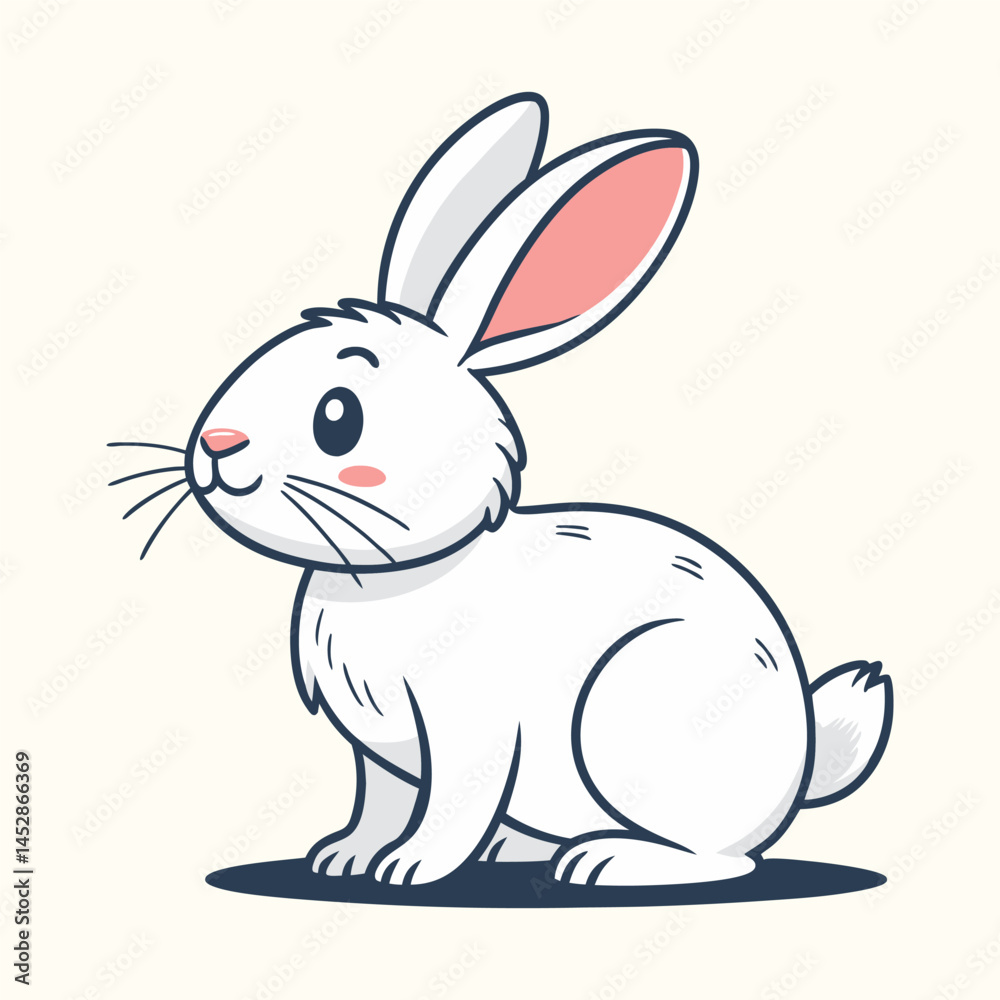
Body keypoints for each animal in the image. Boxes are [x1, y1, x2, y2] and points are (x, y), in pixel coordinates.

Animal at [115, 93, 892, 888]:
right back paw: (521, 851)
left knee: (726, 859)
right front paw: (345, 859)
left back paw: (605, 862)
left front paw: (407, 870)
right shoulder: (379, 753)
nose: (216, 446)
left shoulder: (470, 733)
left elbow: (451, 805)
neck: (393, 578)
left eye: (338, 417)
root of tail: (798, 772)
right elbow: (379, 802)